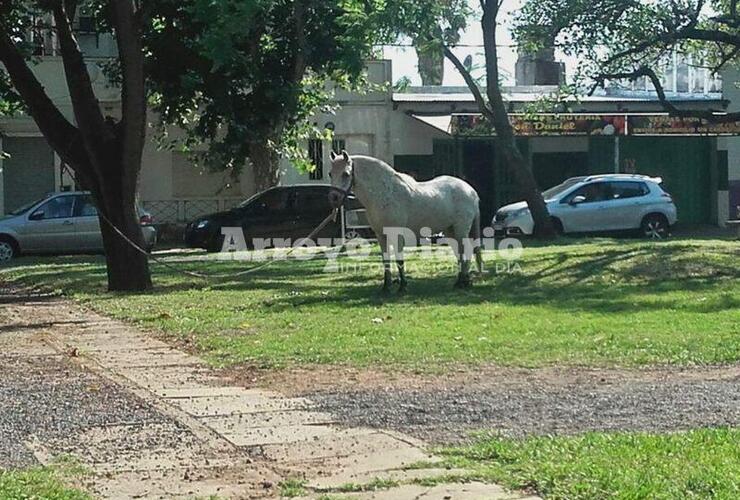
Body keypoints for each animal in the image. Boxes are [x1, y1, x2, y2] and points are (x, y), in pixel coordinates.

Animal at [328, 150, 480, 292]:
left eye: (346, 174)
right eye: (330, 174)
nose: (334, 198)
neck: (385, 194)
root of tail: (471, 190)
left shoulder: (397, 234)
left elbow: (399, 259)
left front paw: (402, 287)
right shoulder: (380, 235)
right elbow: (386, 260)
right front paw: (386, 287)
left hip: (460, 230)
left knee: (465, 250)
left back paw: (463, 282)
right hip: (450, 230)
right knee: (460, 253)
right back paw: (461, 281)